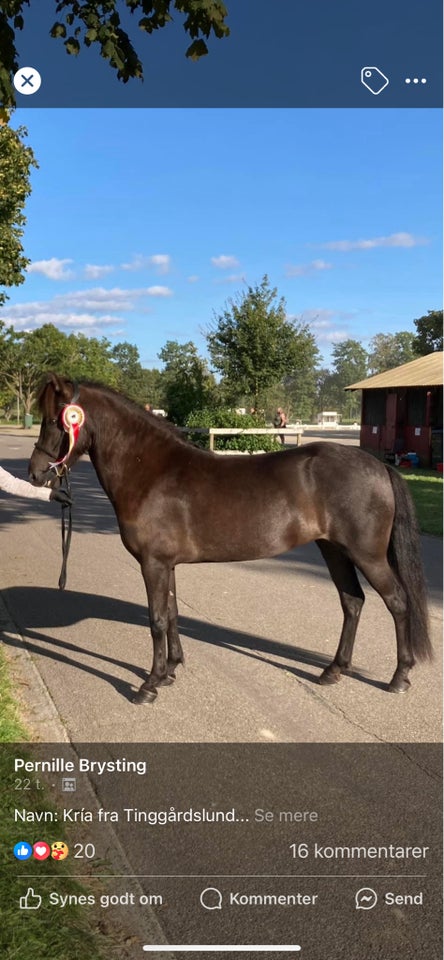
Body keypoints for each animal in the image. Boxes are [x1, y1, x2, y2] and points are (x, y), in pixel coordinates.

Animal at [27, 376, 430, 704]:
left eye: (55, 420)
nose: (35, 473)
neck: (151, 472)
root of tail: (379, 465)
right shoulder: (166, 564)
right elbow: (171, 613)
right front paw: (171, 670)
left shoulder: (153, 564)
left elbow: (156, 620)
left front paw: (149, 685)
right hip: (334, 550)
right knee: (352, 602)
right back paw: (333, 670)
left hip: (367, 555)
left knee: (397, 602)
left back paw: (399, 677)